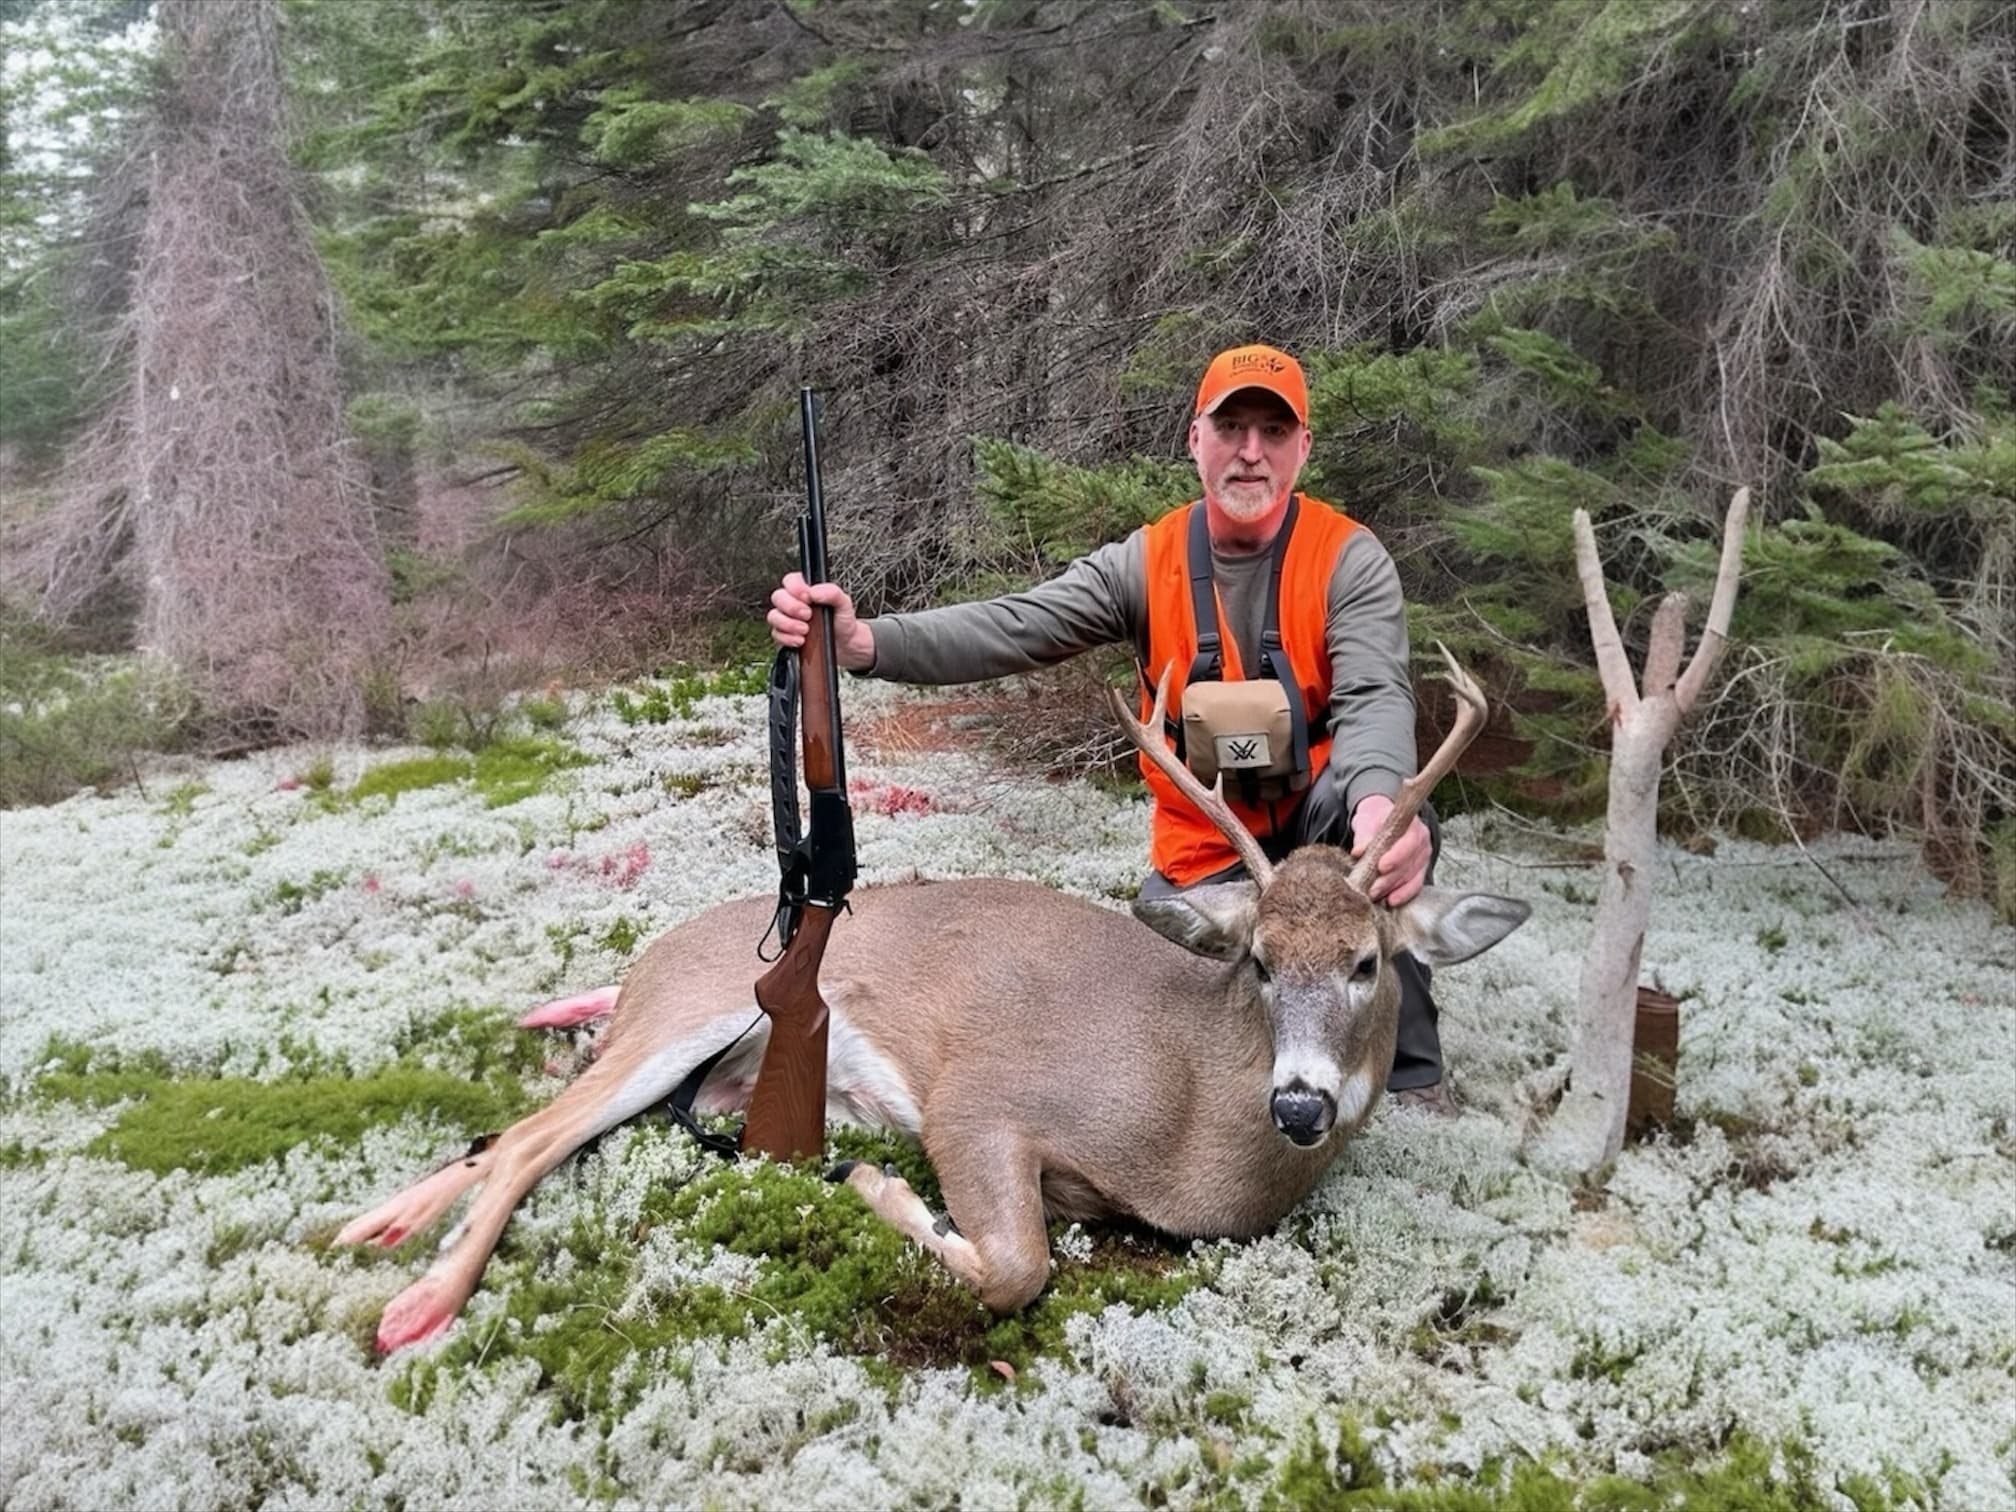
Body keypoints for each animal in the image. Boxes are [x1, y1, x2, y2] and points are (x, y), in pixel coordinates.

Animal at [337, 649, 1529, 1352]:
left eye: (1368, 962)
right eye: (1262, 964)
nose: (1299, 1104)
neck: (1193, 1120)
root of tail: (648, 959)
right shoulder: (982, 1100)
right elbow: (1015, 1268)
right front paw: (877, 1185)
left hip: (701, 1079)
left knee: (518, 1132)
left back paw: (379, 1224)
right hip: (682, 1017)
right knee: (533, 1137)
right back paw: (417, 1302)